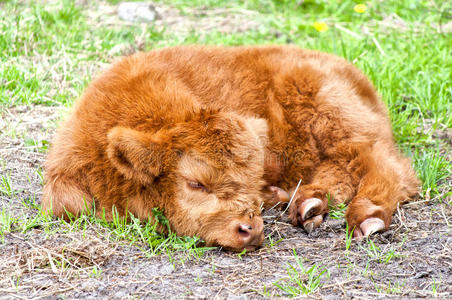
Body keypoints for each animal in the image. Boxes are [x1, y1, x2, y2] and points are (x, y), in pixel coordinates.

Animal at [40, 44, 418, 251]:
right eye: (194, 183)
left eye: (250, 180)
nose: (250, 231)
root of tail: (354, 73)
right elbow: (68, 205)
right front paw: (277, 196)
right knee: (342, 166)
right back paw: (309, 206)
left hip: (329, 115)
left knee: (381, 163)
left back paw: (367, 218)